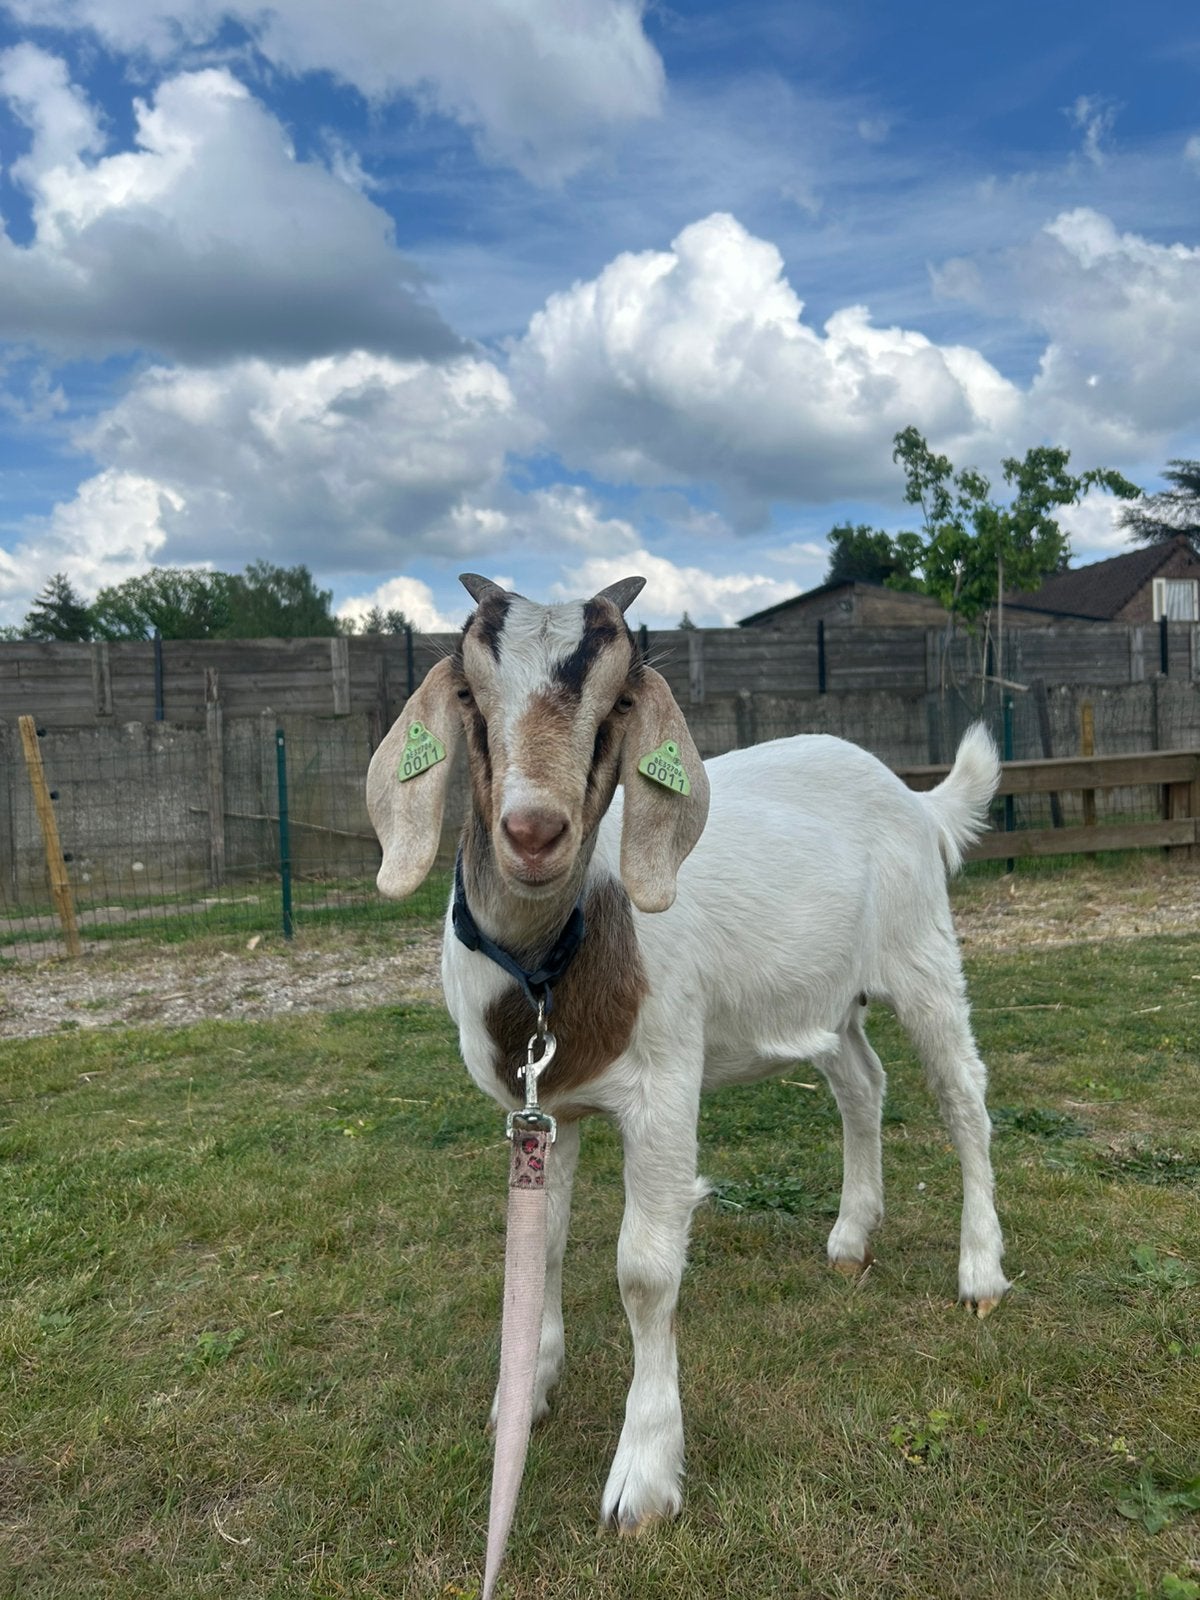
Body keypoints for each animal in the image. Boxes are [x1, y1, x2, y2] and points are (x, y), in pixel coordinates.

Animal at [366, 573, 1009, 1534]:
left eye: (621, 702)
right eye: (471, 695)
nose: (534, 832)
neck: (546, 964)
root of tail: (914, 796)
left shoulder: (665, 1083)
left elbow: (643, 1269)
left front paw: (643, 1475)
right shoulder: (542, 1108)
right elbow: (541, 1249)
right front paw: (528, 1393)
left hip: (922, 953)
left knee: (961, 1093)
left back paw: (980, 1270)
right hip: (823, 997)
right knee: (862, 1082)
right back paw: (851, 1236)